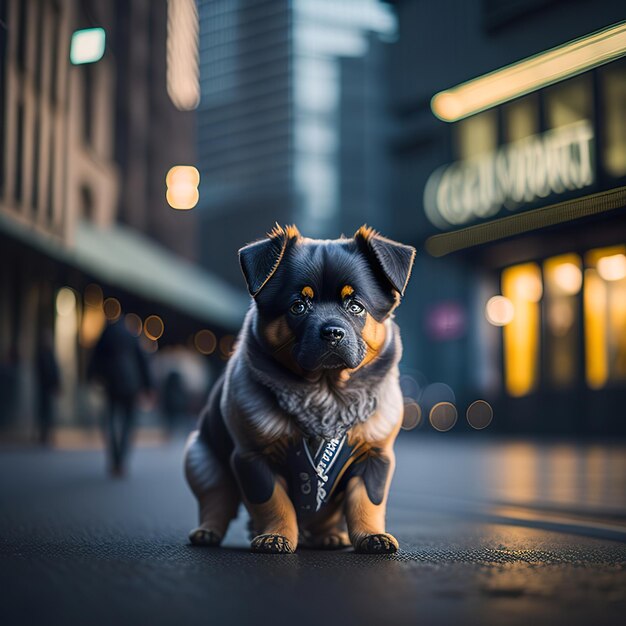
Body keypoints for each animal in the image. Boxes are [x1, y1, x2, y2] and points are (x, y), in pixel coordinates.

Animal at [182, 223, 414, 552]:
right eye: (298, 307)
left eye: (356, 307)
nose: (332, 331)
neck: (326, 392)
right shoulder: (252, 458)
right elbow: (273, 502)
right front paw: (276, 535)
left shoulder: (375, 457)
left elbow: (367, 502)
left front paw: (371, 535)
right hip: (201, 462)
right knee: (217, 500)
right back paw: (208, 531)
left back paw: (331, 536)